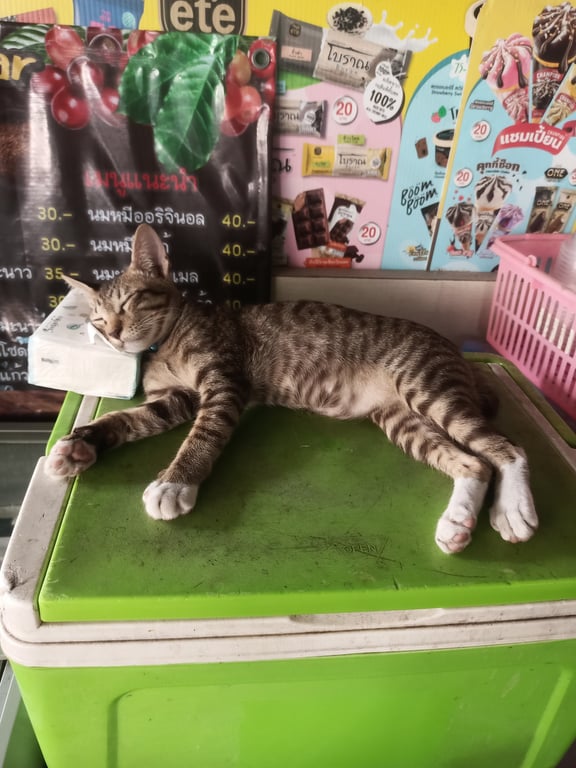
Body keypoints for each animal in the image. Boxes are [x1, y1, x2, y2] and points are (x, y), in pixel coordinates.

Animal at [45, 223, 538, 554]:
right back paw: (457, 522)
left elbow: (203, 435)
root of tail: (452, 349)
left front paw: (174, 483)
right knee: (473, 463)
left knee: (508, 448)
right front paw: (80, 444)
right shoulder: (175, 400)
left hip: (426, 386)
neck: (165, 345)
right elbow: (127, 417)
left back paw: (513, 509)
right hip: (402, 420)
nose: (113, 334)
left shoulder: (224, 382)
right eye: (97, 319)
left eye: (129, 302)